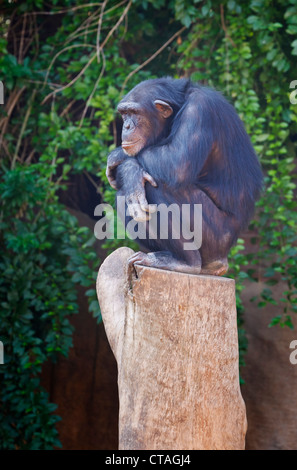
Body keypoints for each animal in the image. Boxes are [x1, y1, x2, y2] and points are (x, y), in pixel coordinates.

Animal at [106, 77, 262, 276]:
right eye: (124, 114)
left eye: (134, 113)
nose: (126, 126)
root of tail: (222, 260)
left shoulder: (200, 110)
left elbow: (178, 162)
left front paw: (122, 163)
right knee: (123, 194)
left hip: (216, 238)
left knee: (156, 188)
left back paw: (184, 262)